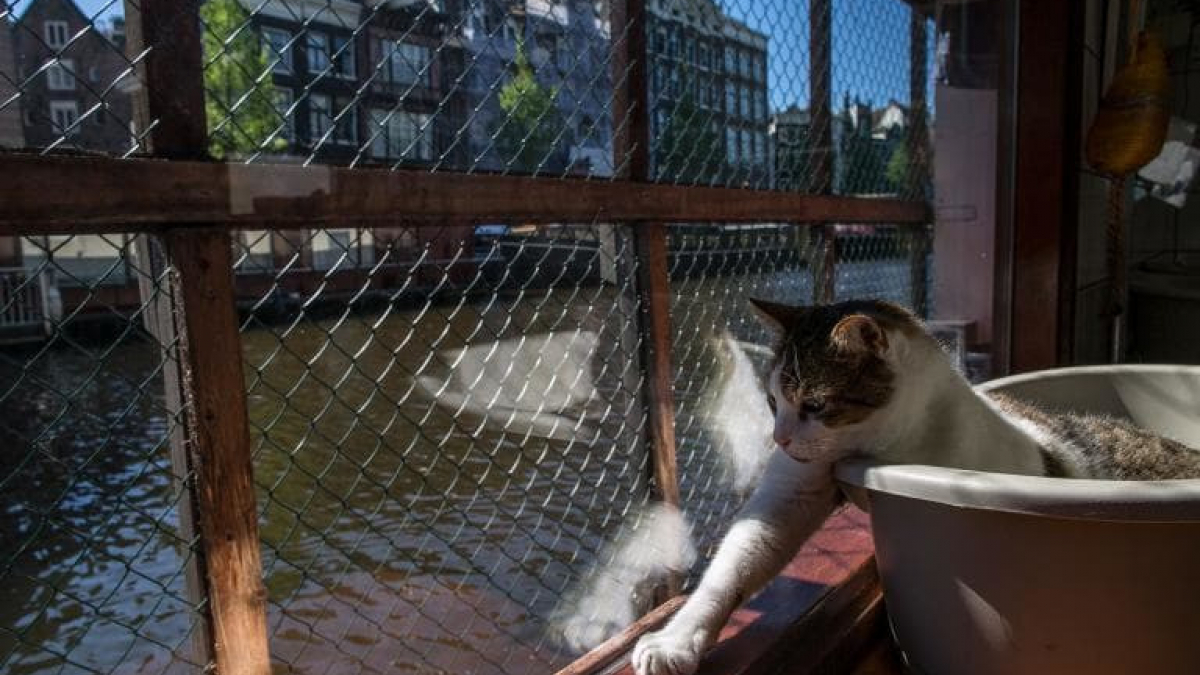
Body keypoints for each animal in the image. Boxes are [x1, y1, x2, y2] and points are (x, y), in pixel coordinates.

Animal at [628, 297, 1200, 672]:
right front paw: (678, 639)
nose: (780, 439)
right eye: (773, 402)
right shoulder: (796, 488)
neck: (889, 444)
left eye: (815, 404)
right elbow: (737, 563)